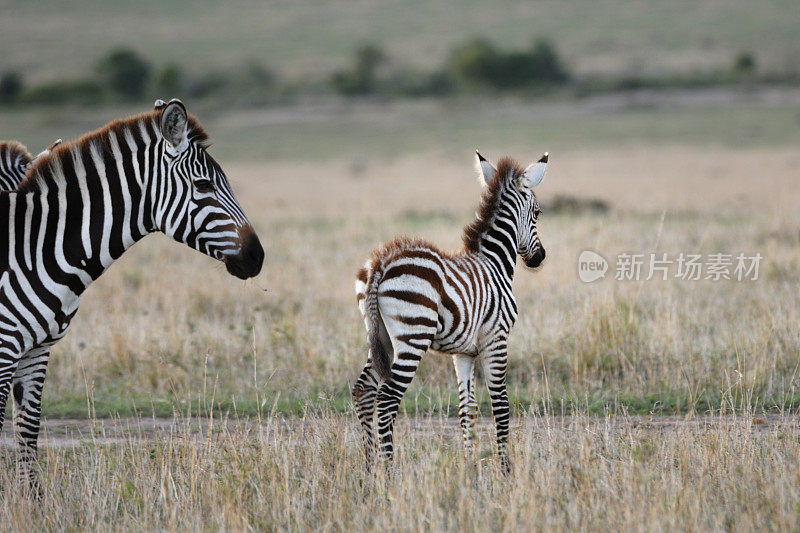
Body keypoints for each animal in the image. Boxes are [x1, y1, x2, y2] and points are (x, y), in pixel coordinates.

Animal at [354, 149, 552, 470]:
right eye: (537, 213)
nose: (540, 257)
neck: (494, 262)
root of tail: (381, 263)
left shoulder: (464, 352)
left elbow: (467, 408)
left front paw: (468, 465)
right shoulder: (496, 339)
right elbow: (500, 404)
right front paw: (506, 468)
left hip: (380, 336)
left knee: (364, 391)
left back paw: (370, 468)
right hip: (412, 337)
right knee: (386, 399)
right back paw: (389, 470)